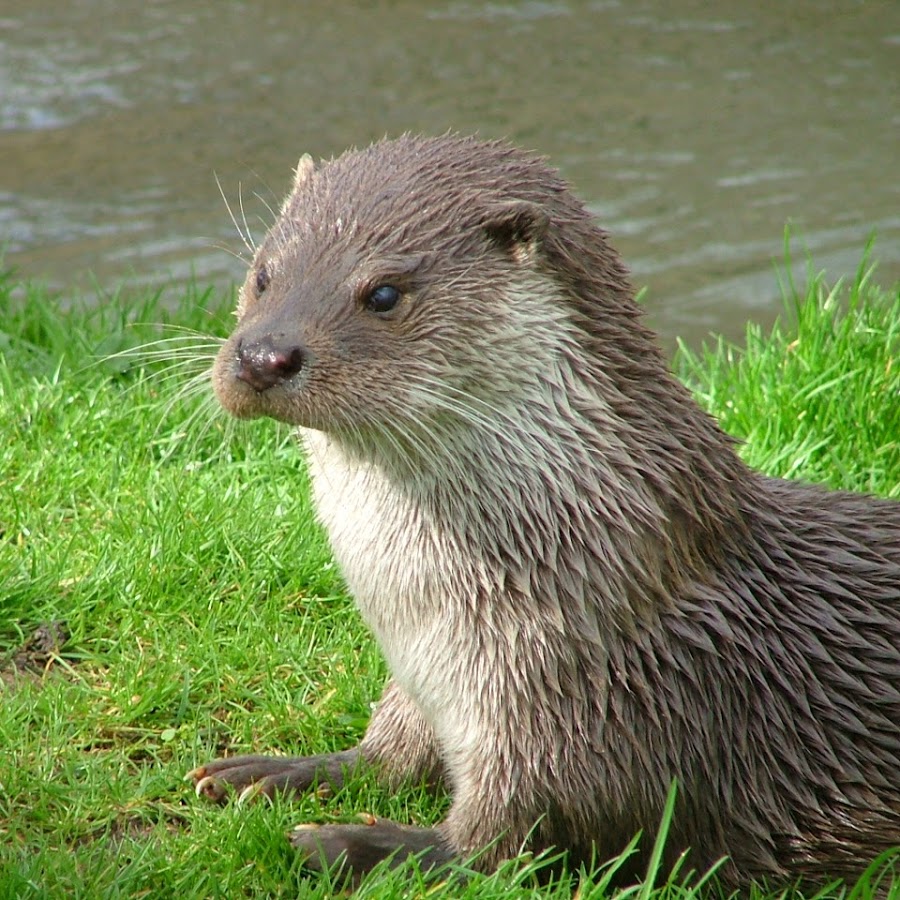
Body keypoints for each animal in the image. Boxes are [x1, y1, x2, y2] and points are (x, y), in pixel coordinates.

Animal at [190, 134, 900, 884]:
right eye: (262, 275)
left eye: (383, 293)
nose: (264, 355)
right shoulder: (425, 689)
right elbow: (386, 758)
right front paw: (274, 772)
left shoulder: (589, 718)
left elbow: (508, 844)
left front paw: (345, 844)